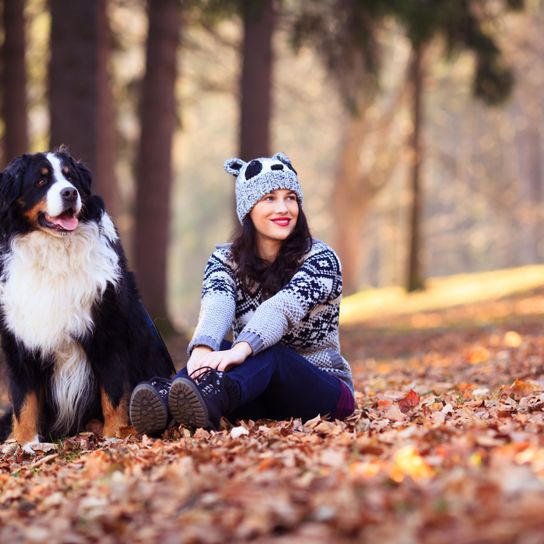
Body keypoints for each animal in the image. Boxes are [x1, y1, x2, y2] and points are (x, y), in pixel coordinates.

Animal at [0, 147, 174, 448]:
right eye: (41, 181)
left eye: (70, 178)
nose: (70, 193)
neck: (54, 252)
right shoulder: (19, 337)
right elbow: (24, 399)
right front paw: (23, 443)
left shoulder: (108, 331)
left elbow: (114, 392)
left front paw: (116, 434)